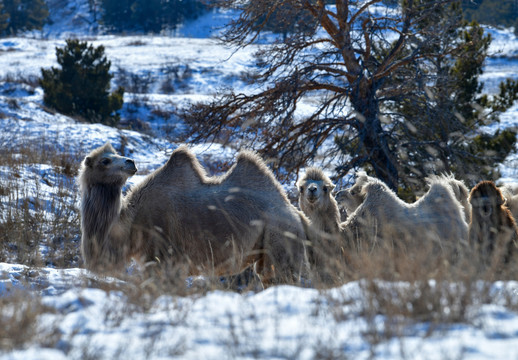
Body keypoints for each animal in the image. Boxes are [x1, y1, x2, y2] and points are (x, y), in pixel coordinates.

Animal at [79, 143, 310, 284]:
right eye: (105, 160)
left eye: (110, 158)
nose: (130, 162)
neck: (131, 223)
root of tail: (298, 215)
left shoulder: (162, 259)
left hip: (281, 236)